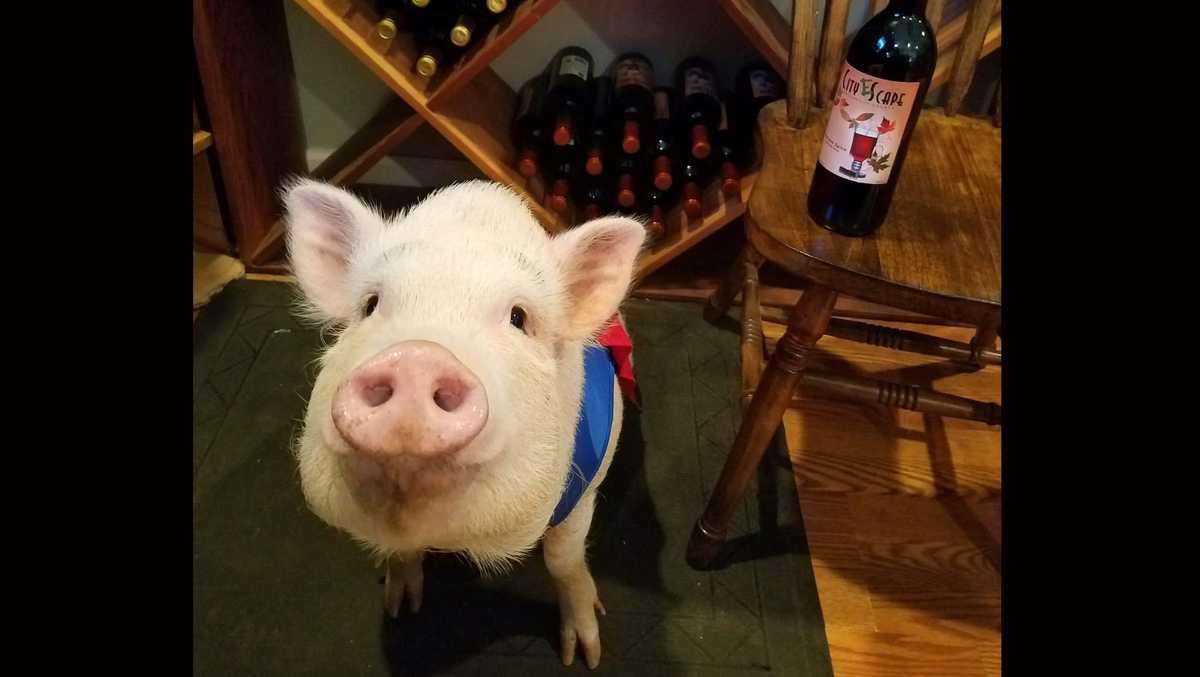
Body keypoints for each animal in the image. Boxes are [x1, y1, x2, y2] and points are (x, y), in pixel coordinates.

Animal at [283, 178, 646, 669]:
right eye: (371, 305)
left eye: (518, 317)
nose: (416, 355)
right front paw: (400, 608)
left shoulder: (585, 487)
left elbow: (563, 558)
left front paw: (584, 655)